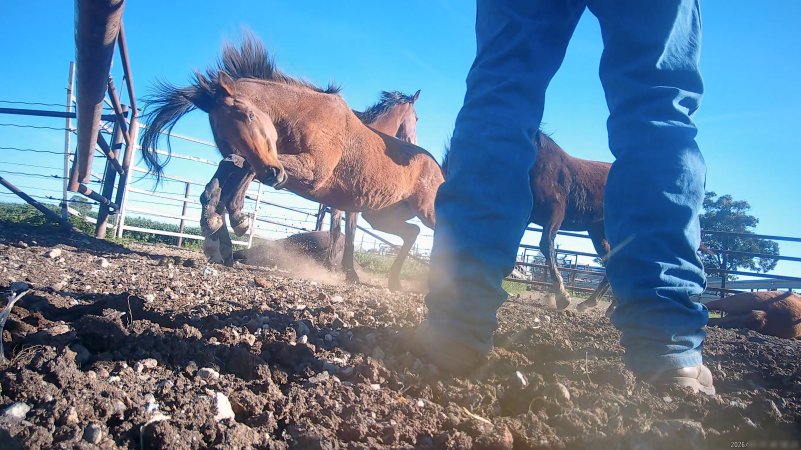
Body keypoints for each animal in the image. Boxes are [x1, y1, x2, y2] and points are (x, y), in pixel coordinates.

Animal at [199, 89, 421, 284]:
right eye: (417, 118)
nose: (412, 143)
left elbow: (337, 229)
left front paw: (334, 266)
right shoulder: (350, 204)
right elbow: (346, 231)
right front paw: (346, 271)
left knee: (225, 174)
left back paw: (216, 236)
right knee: (232, 178)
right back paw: (227, 229)